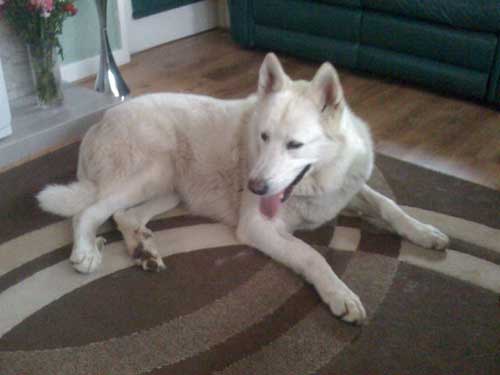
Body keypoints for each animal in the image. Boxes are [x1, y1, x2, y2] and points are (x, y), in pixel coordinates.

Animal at [37, 54, 448, 324]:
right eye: (263, 137)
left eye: (295, 145)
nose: (254, 186)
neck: (317, 182)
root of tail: (97, 123)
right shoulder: (258, 227)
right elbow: (312, 255)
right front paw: (339, 294)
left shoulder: (347, 191)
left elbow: (389, 205)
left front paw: (424, 232)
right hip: (152, 170)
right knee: (88, 211)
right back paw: (86, 252)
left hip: (168, 189)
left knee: (123, 215)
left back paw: (143, 250)